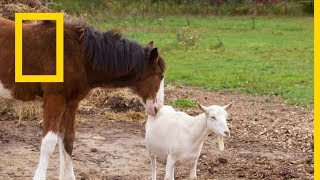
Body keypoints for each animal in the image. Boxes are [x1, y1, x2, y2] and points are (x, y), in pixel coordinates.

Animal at [0, 16, 165, 179]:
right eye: (160, 76)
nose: (157, 107)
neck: (79, 57)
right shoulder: (55, 99)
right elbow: (49, 142)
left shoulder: (71, 103)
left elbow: (67, 139)